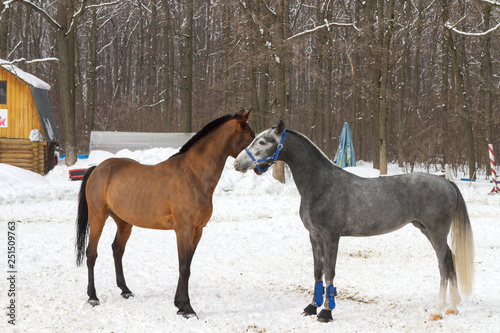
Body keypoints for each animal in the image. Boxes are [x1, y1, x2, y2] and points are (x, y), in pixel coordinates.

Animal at [75, 111, 254, 316]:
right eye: (251, 135)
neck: (192, 175)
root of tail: (97, 168)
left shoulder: (197, 231)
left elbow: (187, 265)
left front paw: (179, 305)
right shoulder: (183, 231)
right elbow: (184, 267)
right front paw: (187, 308)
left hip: (124, 222)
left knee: (117, 250)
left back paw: (125, 290)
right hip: (98, 217)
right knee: (91, 253)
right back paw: (93, 297)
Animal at [232, 119, 474, 322]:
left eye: (262, 141)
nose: (237, 164)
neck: (321, 185)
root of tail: (446, 182)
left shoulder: (331, 237)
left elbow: (329, 273)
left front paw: (326, 313)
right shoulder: (314, 237)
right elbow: (317, 271)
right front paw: (311, 307)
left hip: (436, 232)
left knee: (443, 263)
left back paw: (437, 310)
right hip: (426, 229)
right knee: (450, 259)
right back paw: (452, 307)